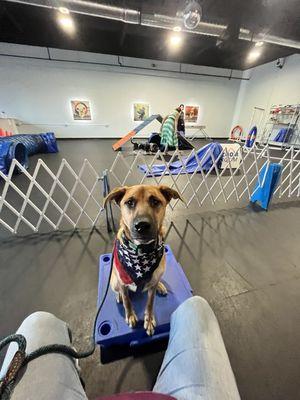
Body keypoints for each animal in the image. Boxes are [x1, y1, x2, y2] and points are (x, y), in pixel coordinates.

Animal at [104, 186, 182, 336]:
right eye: (129, 202)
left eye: (155, 201)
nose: (142, 225)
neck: (141, 251)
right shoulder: (122, 282)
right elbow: (127, 302)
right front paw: (130, 316)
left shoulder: (152, 286)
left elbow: (150, 303)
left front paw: (149, 319)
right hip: (114, 282)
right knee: (120, 292)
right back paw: (119, 296)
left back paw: (160, 286)